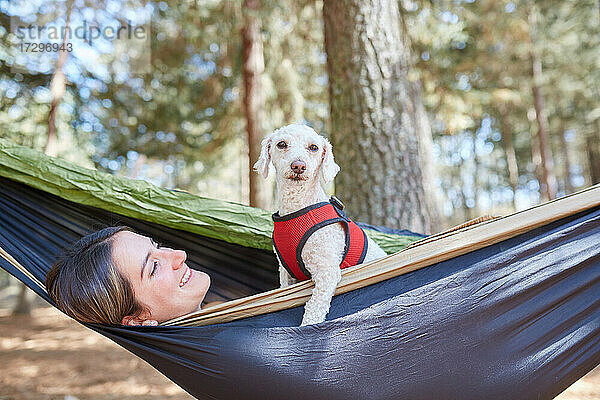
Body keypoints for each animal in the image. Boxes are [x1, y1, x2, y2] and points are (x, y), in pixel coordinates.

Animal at [252, 124, 384, 324]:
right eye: (281, 144)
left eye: (313, 147)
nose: (298, 165)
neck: (297, 206)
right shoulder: (287, 276)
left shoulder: (327, 272)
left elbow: (313, 309)